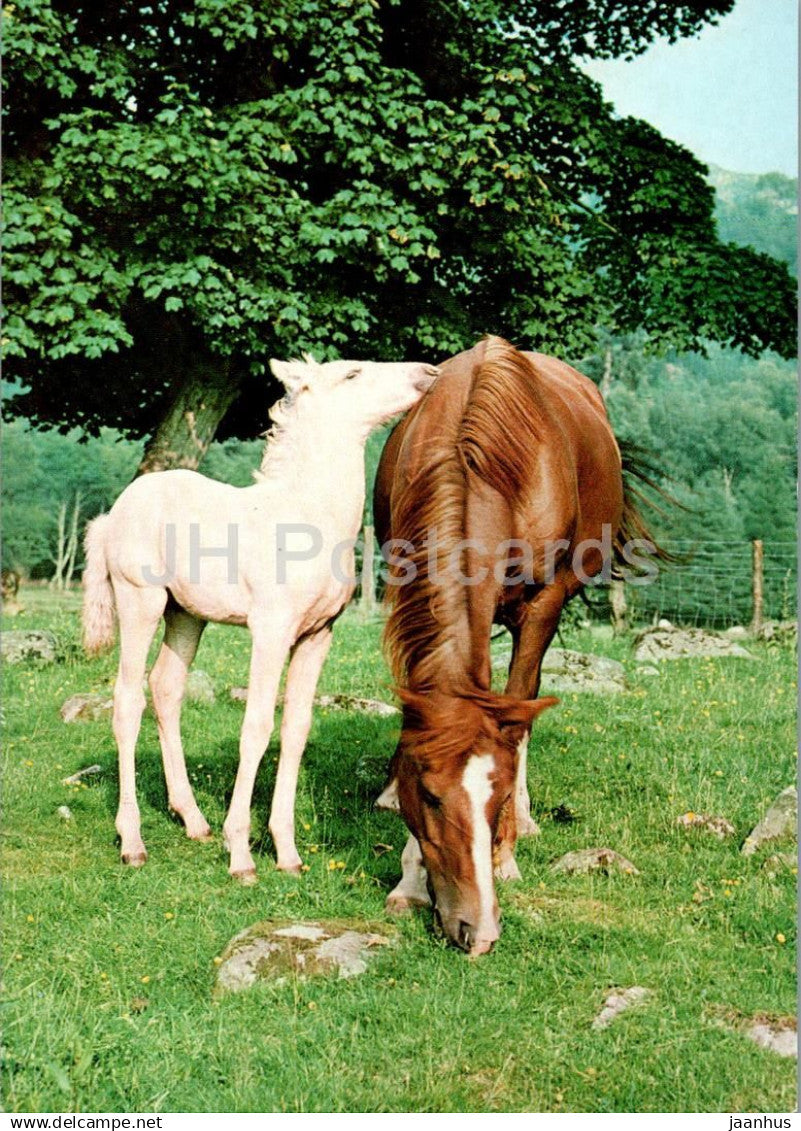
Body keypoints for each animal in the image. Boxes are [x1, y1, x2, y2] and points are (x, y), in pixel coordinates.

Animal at [82, 354, 439, 881]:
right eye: (352, 374)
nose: (428, 374)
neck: (308, 518)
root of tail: (112, 516)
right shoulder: (270, 631)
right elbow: (256, 728)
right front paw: (241, 854)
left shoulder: (317, 635)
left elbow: (295, 730)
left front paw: (287, 852)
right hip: (139, 601)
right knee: (128, 700)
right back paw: (132, 842)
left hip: (185, 613)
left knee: (166, 687)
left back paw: (193, 819)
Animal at [373, 335, 665, 955]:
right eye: (429, 796)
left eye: (497, 795)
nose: (478, 930)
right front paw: (408, 879)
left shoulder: (544, 603)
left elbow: (519, 707)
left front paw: (506, 853)